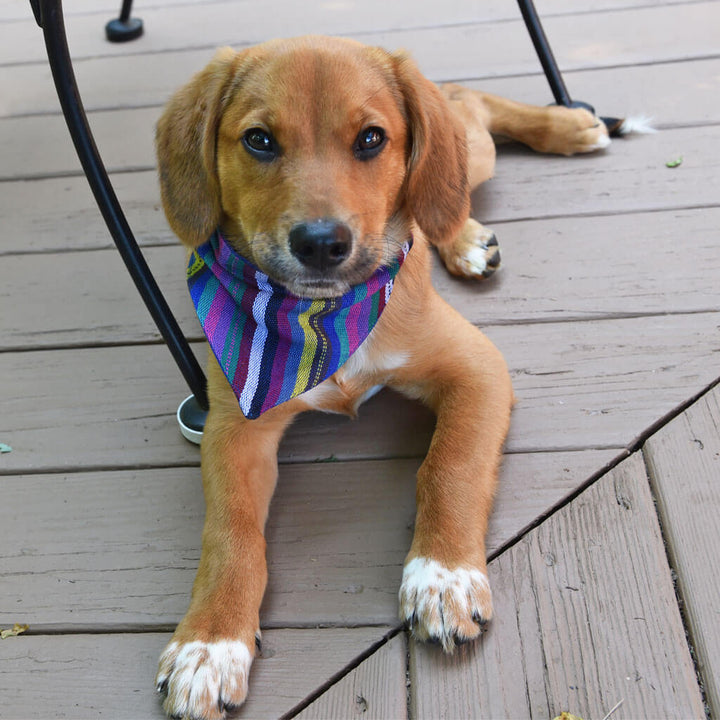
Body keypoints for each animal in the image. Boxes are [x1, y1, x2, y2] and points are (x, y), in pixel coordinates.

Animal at [155, 35, 612, 720]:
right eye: (259, 141)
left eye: (371, 139)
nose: (321, 244)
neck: (320, 321)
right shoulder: (235, 426)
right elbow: (230, 533)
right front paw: (209, 644)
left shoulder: (477, 368)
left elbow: (450, 466)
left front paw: (442, 578)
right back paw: (466, 235)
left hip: (470, 152)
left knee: (465, 117)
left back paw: (564, 128)